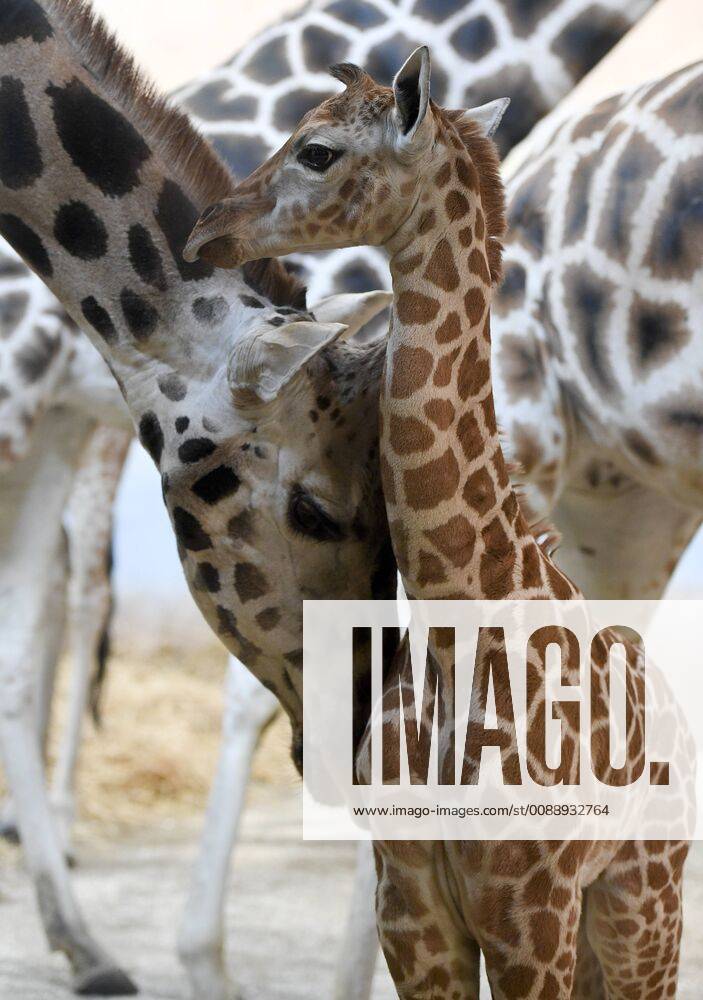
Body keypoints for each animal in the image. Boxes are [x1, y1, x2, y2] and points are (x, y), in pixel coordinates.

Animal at [188, 48, 692, 998]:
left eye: (316, 151)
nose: (206, 230)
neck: (461, 627)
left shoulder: (529, 911)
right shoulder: (414, 908)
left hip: (642, 905)